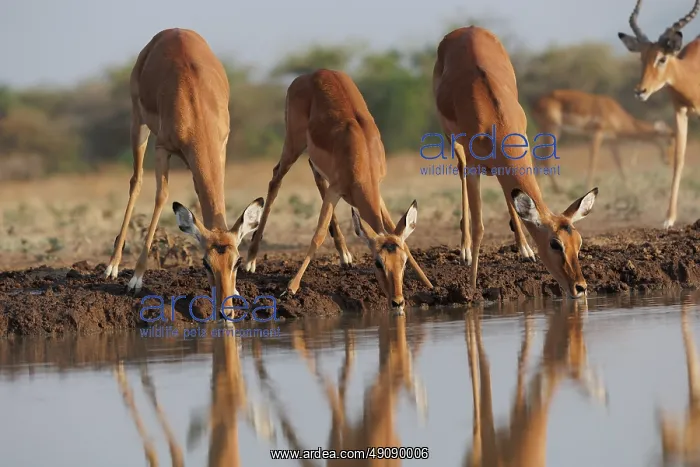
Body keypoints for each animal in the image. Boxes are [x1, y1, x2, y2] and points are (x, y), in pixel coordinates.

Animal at [103, 28, 264, 314]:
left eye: (236, 261)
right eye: (205, 263)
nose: (226, 308)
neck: (195, 103)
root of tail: (173, 30)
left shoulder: (221, 147)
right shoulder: (162, 148)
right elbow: (161, 198)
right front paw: (136, 279)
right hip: (138, 124)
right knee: (136, 182)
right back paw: (112, 266)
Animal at [243, 69, 433, 314]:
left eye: (403, 261)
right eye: (377, 262)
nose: (397, 302)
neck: (362, 151)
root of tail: (309, 74)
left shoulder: (376, 189)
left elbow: (393, 227)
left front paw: (428, 283)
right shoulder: (336, 189)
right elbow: (318, 235)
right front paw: (291, 288)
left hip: (312, 159)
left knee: (314, 178)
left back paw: (345, 257)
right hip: (293, 144)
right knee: (275, 179)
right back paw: (250, 260)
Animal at [432, 26, 599, 297]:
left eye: (579, 242)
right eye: (555, 244)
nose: (580, 287)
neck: (495, 118)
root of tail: (466, 29)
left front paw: (526, 250)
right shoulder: (474, 166)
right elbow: (480, 227)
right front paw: (471, 287)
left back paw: (524, 250)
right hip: (452, 141)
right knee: (460, 172)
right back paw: (464, 251)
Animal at [531, 89, 675, 193]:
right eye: (669, 140)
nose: (668, 160)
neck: (614, 112)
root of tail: (536, 103)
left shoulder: (611, 140)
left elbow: (619, 163)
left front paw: (630, 188)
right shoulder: (597, 134)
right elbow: (593, 161)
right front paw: (586, 189)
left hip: (543, 132)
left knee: (536, 157)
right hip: (553, 129)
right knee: (546, 160)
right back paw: (559, 190)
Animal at [618, 0, 700, 229]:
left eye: (662, 58)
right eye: (641, 58)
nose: (640, 91)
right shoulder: (680, 111)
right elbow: (678, 159)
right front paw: (669, 218)